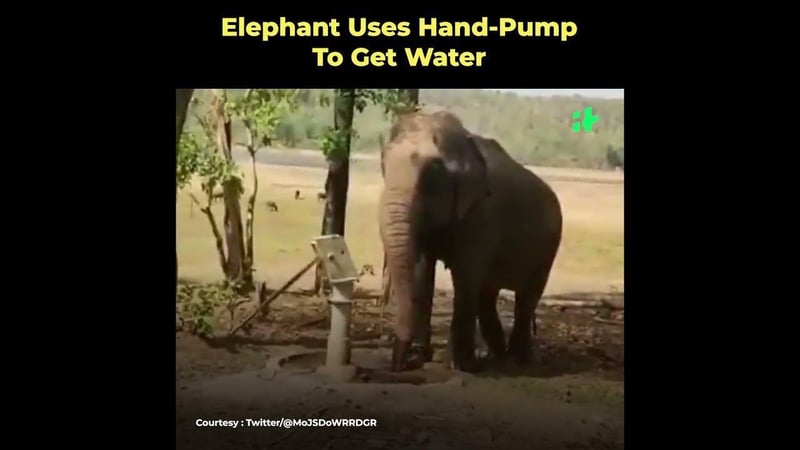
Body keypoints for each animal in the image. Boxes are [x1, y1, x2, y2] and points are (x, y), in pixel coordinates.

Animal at [378, 110, 563, 372]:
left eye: (431, 174)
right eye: (383, 164)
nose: (397, 365)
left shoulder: (482, 214)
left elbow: (465, 276)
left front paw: (456, 365)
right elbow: (422, 271)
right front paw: (420, 358)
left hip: (549, 246)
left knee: (526, 296)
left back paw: (516, 360)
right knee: (487, 295)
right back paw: (496, 356)